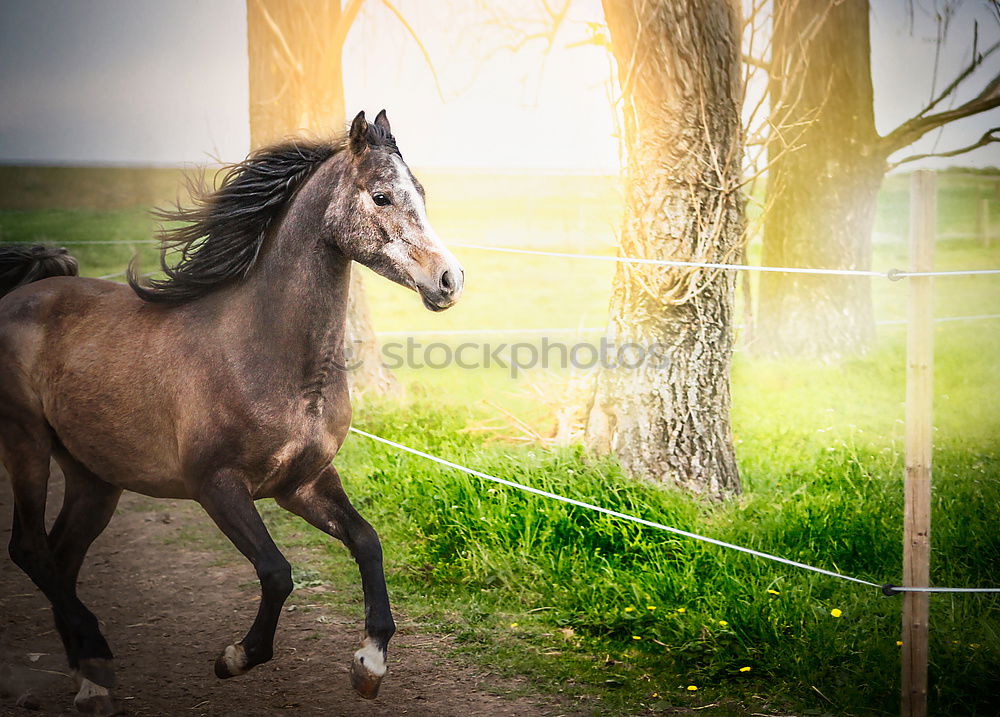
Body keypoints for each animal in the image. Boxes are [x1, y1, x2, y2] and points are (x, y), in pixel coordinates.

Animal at [0, 109, 460, 712]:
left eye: (422, 192)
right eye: (381, 196)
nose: (449, 280)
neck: (260, 352)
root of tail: (16, 296)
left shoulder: (303, 484)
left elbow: (367, 542)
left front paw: (369, 665)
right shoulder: (215, 485)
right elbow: (277, 572)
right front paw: (235, 657)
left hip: (94, 477)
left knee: (61, 556)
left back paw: (91, 679)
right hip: (26, 444)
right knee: (30, 549)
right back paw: (97, 662)